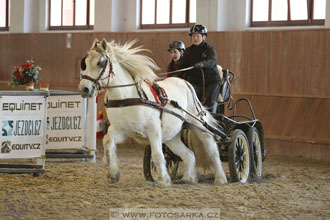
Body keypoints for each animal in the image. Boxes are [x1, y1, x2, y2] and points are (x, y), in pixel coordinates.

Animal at [78, 38, 227, 186]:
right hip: (171, 136)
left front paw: (163, 180)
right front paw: (113, 174)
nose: (84, 89)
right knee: (189, 155)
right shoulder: (123, 129)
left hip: (199, 125)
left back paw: (221, 178)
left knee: (212, 149)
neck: (126, 96)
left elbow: (157, 154)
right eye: (85, 63)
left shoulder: (153, 129)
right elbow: (108, 142)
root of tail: (186, 83)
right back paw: (188, 179)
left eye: (100, 63)